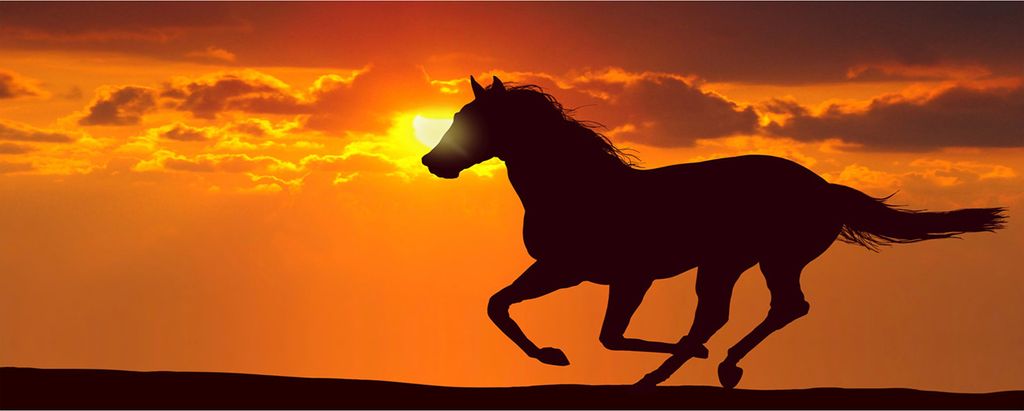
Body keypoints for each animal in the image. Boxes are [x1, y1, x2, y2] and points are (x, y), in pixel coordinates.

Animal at [421, 75, 1006, 388]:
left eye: (473, 121)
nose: (431, 162)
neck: (580, 190)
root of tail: (824, 187)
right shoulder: (564, 270)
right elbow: (501, 305)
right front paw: (551, 355)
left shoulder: (616, 274)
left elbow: (607, 335)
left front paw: (559, 355)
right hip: (736, 262)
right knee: (753, 311)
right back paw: (709, 366)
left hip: (752, 259)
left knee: (764, 310)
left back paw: (698, 367)